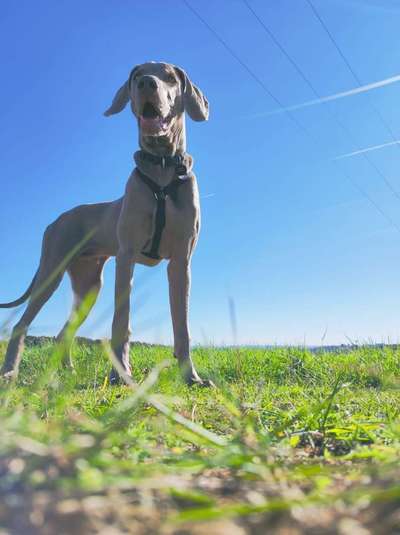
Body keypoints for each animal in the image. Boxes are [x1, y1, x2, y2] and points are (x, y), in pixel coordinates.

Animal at [0, 62, 212, 388]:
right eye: (137, 75)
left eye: (170, 76)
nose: (147, 83)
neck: (162, 168)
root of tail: (55, 220)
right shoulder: (126, 256)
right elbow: (121, 322)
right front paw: (121, 374)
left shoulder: (180, 261)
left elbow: (182, 326)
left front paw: (191, 376)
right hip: (52, 271)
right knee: (21, 324)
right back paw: (10, 372)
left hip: (88, 284)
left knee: (63, 332)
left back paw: (68, 372)